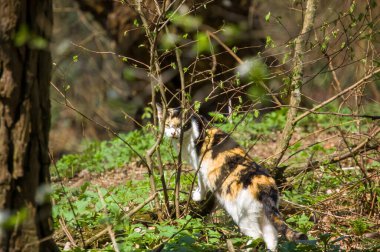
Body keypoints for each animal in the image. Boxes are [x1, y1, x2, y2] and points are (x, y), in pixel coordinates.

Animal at [156, 104, 308, 250]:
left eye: (180, 125)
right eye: (167, 125)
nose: (173, 133)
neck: (197, 129)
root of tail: (264, 185)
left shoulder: (200, 166)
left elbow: (201, 182)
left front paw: (198, 196)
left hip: (242, 214)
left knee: (256, 235)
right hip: (265, 215)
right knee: (271, 236)